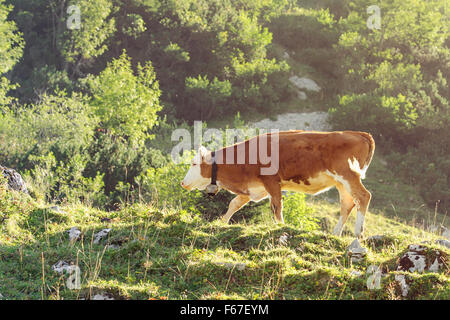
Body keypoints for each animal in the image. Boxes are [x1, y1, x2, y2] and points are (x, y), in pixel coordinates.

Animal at [181, 131, 374, 238]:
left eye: (193, 163)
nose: (183, 183)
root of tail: (360, 134)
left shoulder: (272, 182)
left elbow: (276, 207)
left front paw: (281, 227)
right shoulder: (253, 187)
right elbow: (234, 204)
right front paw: (222, 222)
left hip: (348, 175)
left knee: (363, 196)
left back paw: (358, 232)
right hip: (340, 182)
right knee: (348, 203)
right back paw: (336, 233)